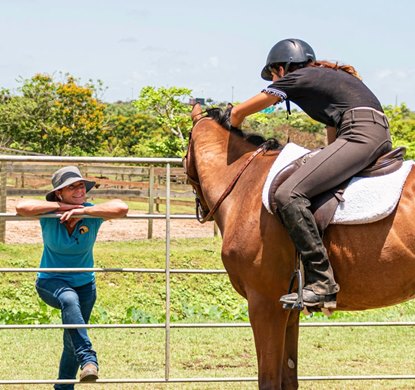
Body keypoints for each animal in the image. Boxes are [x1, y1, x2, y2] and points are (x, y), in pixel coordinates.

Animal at [184, 103, 415, 390]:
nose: (202, 210)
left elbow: (269, 380)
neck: (246, 185)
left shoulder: (265, 304)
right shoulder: (288, 310)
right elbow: (288, 377)